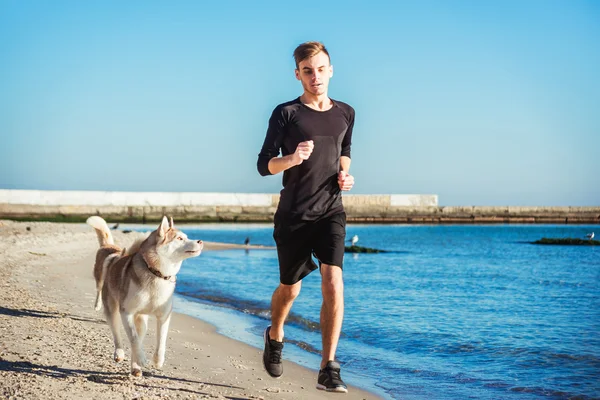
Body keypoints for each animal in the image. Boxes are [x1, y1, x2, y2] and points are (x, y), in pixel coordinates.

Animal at [86, 216, 203, 376]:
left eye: (186, 236)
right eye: (179, 238)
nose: (200, 241)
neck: (156, 274)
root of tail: (115, 258)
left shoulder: (164, 316)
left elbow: (161, 341)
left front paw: (157, 361)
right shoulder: (126, 312)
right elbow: (134, 339)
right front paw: (141, 359)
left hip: (142, 320)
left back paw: (135, 367)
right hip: (112, 309)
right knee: (118, 334)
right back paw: (120, 353)